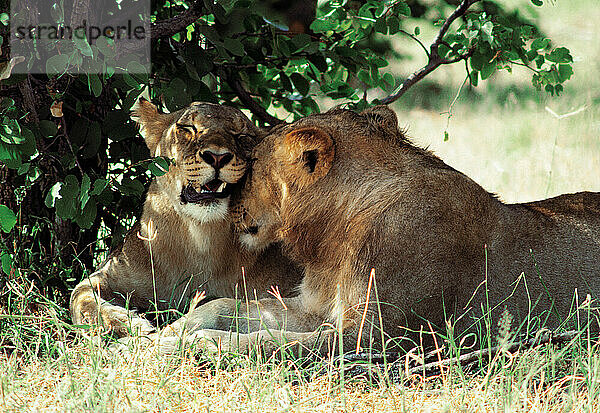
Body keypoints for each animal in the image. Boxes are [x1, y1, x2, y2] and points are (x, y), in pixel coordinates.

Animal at [71, 98, 304, 336]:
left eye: (241, 135)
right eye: (188, 128)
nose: (217, 157)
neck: (201, 239)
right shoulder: (111, 271)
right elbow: (81, 296)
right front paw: (123, 323)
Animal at [159, 104, 600, 352]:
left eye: (250, 165)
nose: (226, 202)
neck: (334, 238)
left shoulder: (376, 336)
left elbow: (275, 343)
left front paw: (204, 343)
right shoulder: (317, 307)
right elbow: (229, 305)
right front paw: (171, 330)